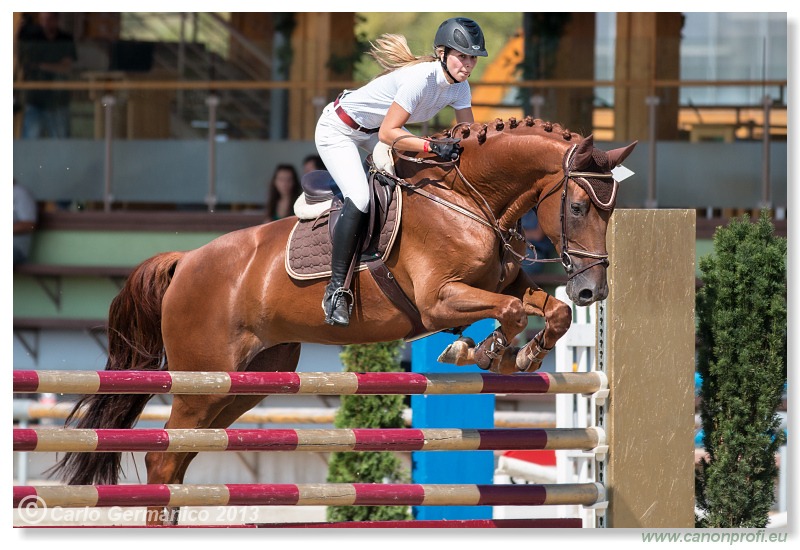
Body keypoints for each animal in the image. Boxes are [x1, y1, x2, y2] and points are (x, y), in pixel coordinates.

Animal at [51, 117, 636, 520]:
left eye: (612, 211)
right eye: (579, 208)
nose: (594, 289)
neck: (468, 199)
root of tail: (186, 260)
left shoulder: (502, 284)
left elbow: (550, 310)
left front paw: (522, 352)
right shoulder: (440, 299)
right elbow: (512, 312)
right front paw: (482, 349)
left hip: (248, 381)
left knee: (183, 457)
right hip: (202, 380)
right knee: (164, 459)